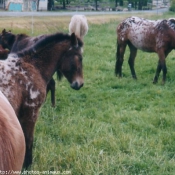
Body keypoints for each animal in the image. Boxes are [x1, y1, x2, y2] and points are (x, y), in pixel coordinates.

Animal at [0, 32, 83, 169]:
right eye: (80, 57)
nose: (79, 84)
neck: (32, 66)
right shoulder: (31, 112)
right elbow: (28, 139)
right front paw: (27, 165)